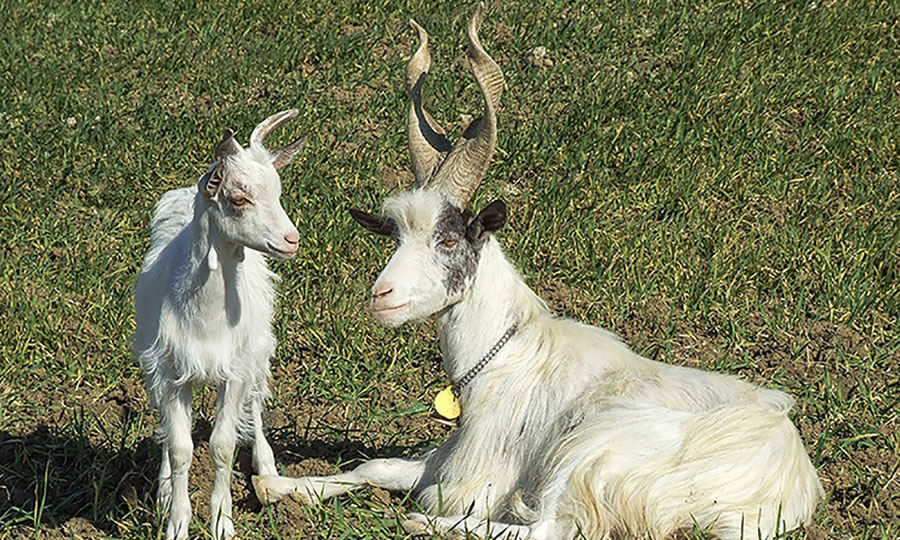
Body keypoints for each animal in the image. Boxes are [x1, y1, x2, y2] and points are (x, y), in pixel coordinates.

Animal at [134, 110, 308, 540]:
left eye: (278, 193)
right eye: (239, 197)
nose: (291, 239)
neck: (207, 317)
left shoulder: (236, 371)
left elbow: (223, 446)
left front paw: (221, 521)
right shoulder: (169, 370)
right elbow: (180, 447)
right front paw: (176, 520)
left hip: (259, 350)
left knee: (257, 405)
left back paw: (267, 466)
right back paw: (163, 488)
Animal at [251, 5, 824, 540]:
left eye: (449, 238)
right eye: (394, 236)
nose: (382, 295)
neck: (507, 355)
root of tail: (783, 483)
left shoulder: (478, 474)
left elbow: (444, 492)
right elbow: (377, 466)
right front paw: (277, 485)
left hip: (595, 449)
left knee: (551, 527)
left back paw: (420, 523)